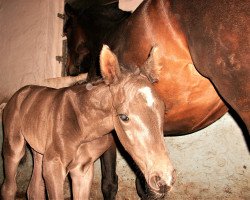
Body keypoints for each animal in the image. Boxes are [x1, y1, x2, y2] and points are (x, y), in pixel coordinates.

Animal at [0, 45, 175, 200]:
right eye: (124, 117)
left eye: (163, 110)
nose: (164, 179)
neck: (83, 126)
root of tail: (17, 95)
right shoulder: (53, 166)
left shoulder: (82, 170)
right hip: (14, 147)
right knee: (9, 187)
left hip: (39, 151)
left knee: (34, 189)